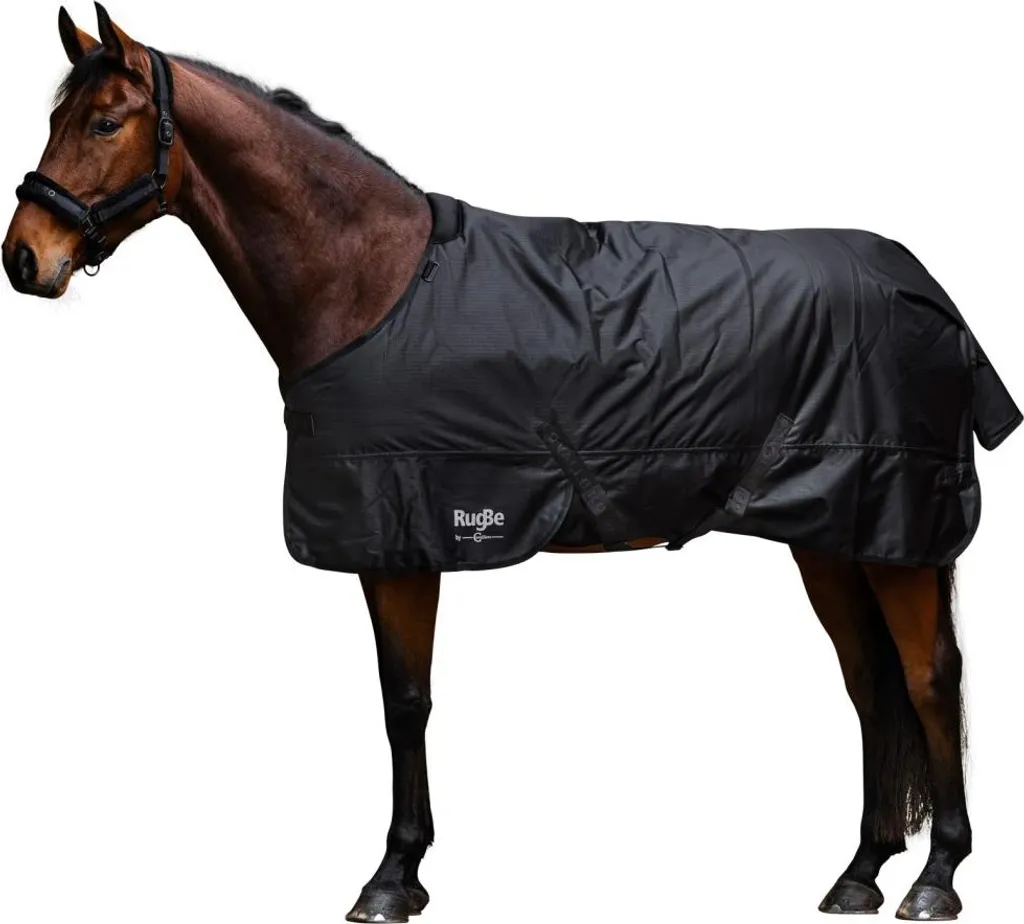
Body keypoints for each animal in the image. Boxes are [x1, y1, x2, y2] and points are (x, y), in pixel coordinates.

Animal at [4, 7, 1019, 922]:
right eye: (56, 118)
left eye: (104, 123)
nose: (24, 258)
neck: (370, 285)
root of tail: (927, 290)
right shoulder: (393, 537)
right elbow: (401, 700)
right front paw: (403, 870)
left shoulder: (404, 534)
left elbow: (405, 703)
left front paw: (392, 878)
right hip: (831, 534)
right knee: (871, 685)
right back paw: (859, 874)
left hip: (894, 532)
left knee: (930, 679)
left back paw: (936, 880)